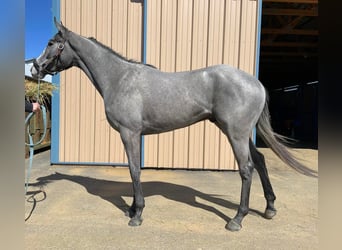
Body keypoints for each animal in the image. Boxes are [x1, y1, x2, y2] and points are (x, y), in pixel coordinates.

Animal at [30, 18, 316, 232]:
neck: (120, 78)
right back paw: (269, 208)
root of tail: (255, 83)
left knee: (247, 169)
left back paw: (237, 219)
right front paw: (132, 208)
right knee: (260, 162)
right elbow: (134, 170)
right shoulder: (133, 135)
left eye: (51, 43)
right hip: (243, 133)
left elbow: (134, 170)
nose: (34, 69)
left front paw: (137, 214)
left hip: (235, 134)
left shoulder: (129, 133)